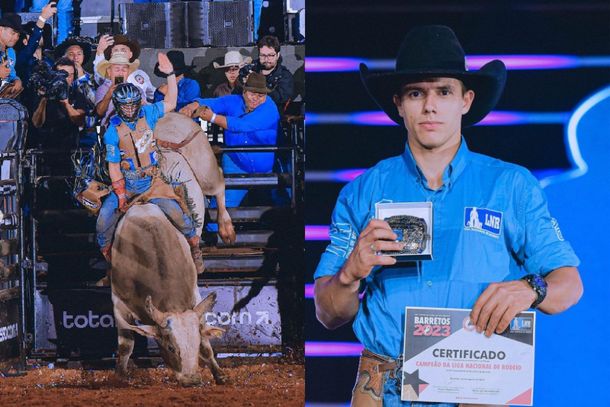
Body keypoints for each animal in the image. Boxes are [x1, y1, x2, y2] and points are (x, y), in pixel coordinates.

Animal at [108, 113, 234, 388]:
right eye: (170, 346)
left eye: (194, 346)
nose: (191, 379)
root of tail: (170, 114)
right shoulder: (119, 302)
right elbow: (125, 344)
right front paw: (121, 376)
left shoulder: (195, 298)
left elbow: (207, 343)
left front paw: (218, 373)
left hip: (205, 168)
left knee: (219, 184)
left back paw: (227, 228)